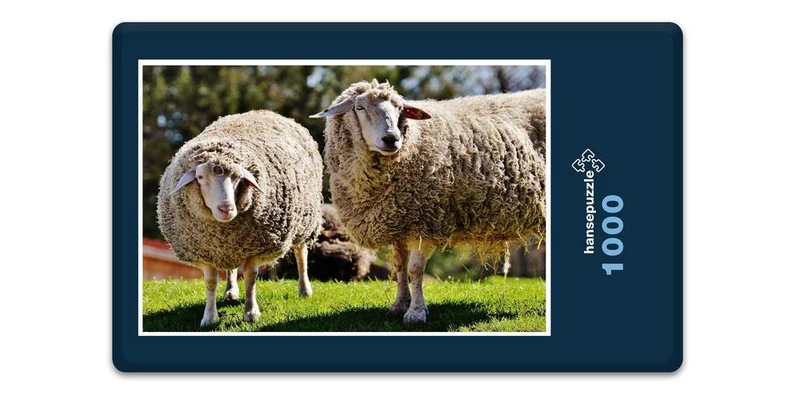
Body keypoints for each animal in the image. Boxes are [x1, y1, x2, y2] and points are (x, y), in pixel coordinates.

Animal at [157, 110, 323, 327]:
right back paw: (231, 291)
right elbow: (211, 281)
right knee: (230, 268)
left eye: (237, 178)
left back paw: (304, 290)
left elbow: (251, 277)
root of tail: (264, 111)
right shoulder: (205, 252)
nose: (226, 208)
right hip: (231, 248)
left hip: (305, 222)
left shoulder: (257, 248)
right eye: (200, 178)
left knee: (301, 254)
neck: (222, 230)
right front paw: (209, 317)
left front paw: (251, 313)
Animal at [311, 80, 546, 323]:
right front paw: (399, 305)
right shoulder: (398, 221)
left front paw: (415, 312)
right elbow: (400, 266)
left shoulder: (425, 221)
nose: (392, 138)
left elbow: (414, 269)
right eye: (359, 107)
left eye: (399, 109)